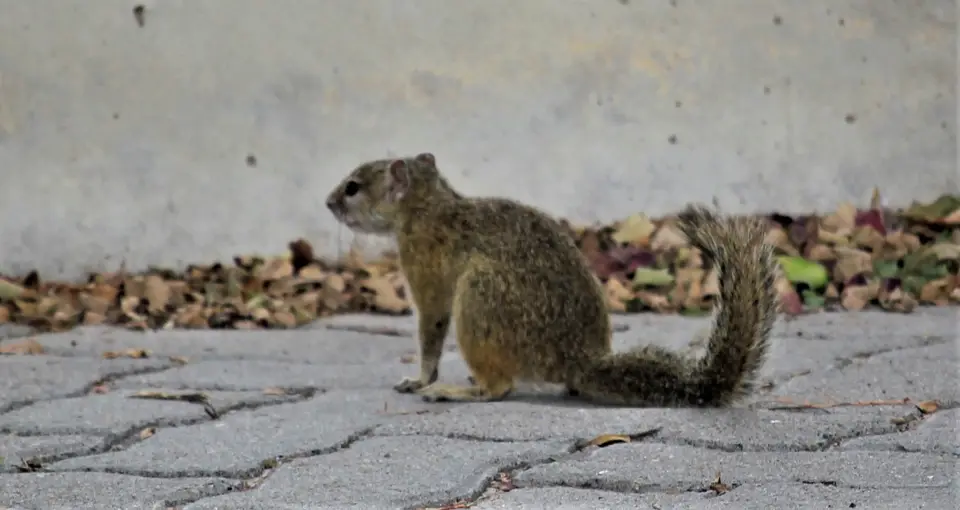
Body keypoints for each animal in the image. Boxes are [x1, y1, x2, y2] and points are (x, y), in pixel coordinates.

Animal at [325, 152, 779, 407]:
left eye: (353, 187)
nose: (328, 202)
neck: (427, 207)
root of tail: (578, 362)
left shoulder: (426, 271)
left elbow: (431, 328)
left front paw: (421, 380)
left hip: (480, 296)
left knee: (500, 387)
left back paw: (459, 390)